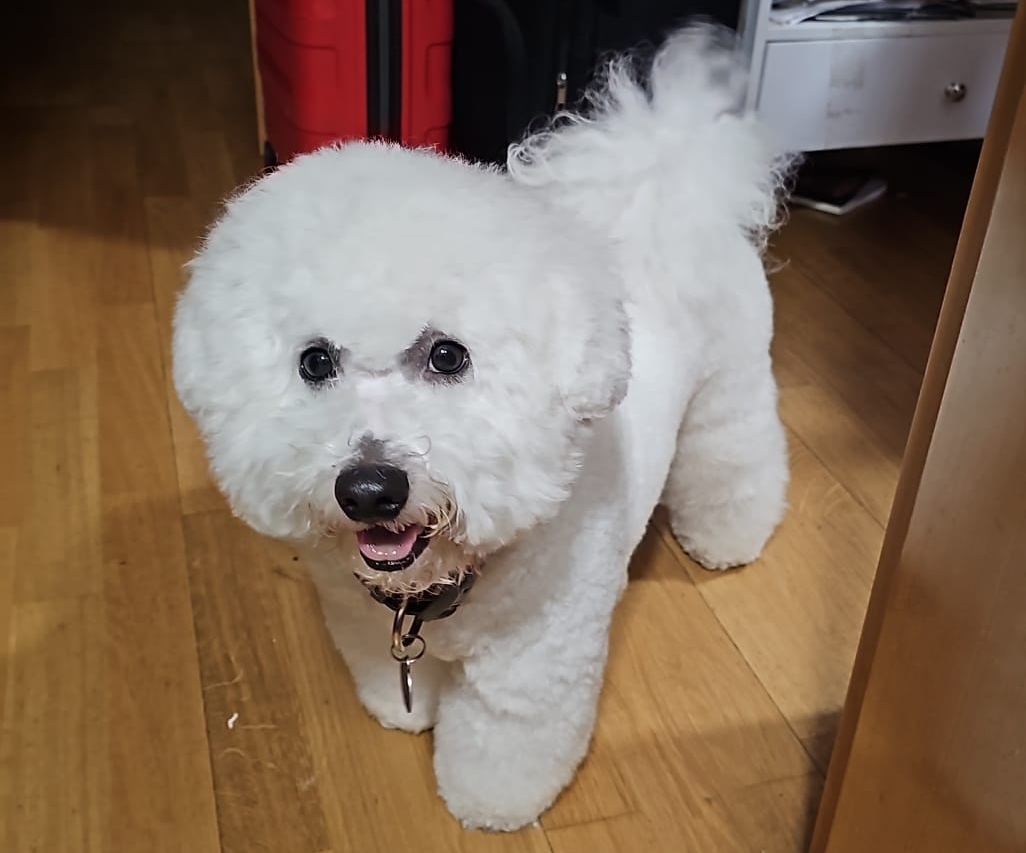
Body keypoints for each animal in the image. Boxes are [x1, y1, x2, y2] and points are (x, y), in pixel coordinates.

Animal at [172, 25, 793, 831]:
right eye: (314, 362)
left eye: (448, 356)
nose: (368, 489)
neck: (434, 588)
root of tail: (672, 172)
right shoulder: (362, 620)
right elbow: (389, 675)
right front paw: (405, 712)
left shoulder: (531, 665)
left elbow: (505, 743)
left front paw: (488, 803)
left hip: (732, 384)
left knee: (736, 457)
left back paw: (727, 536)